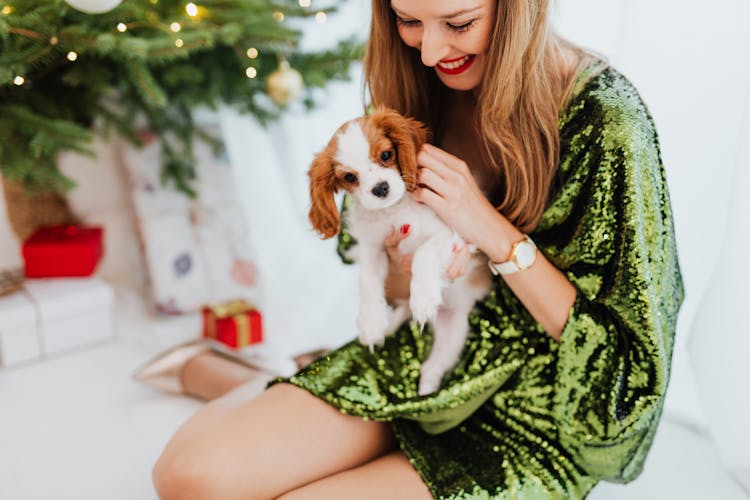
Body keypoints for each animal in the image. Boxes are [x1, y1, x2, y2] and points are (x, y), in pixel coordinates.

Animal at [306, 108, 494, 394]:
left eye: (386, 155)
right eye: (349, 177)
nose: (380, 188)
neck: (393, 211)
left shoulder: (450, 235)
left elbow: (423, 254)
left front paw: (423, 298)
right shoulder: (374, 248)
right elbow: (368, 281)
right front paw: (371, 322)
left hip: (453, 331)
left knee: (431, 368)